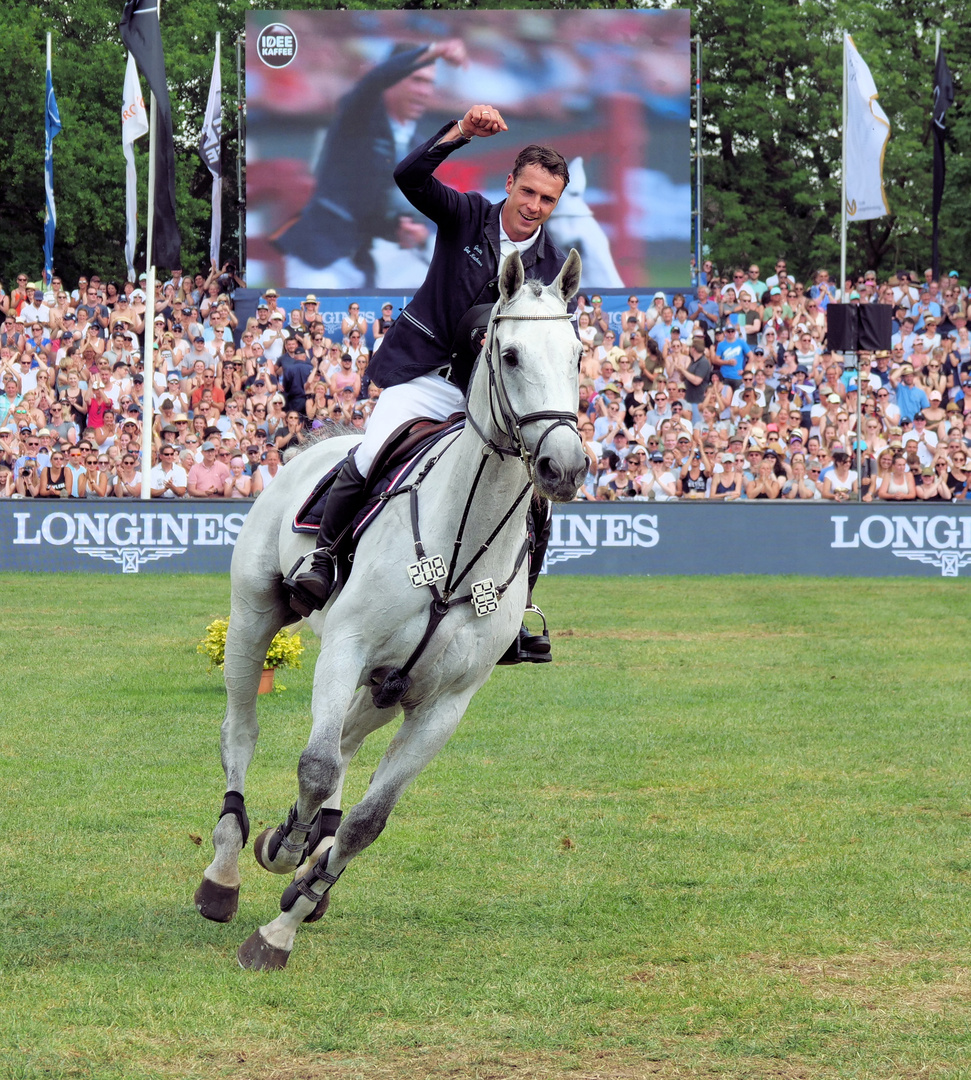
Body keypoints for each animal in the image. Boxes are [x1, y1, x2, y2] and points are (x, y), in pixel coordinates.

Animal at [193, 250, 578, 972]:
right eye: (509, 354)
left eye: (576, 355)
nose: (564, 466)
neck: (461, 543)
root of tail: (313, 446)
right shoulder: (347, 645)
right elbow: (315, 767)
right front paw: (283, 860)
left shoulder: (444, 701)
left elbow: (366, 817)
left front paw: (288, 911)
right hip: (255, 616)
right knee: (243, 730)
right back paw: (225, 872)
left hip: (388, 686)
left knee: (344, 743)